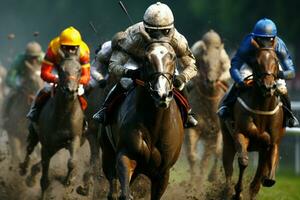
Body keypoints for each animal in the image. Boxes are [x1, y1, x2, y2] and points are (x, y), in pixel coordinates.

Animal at [19, 50, 86, 198]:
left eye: (79, 70)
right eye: (60, 69)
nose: (70, 90)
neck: (63, 115)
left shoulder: (75, 138)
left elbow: (72, 161)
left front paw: (68, 181)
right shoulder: (47, 145)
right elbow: (44, 180)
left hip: (58, 146)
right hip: (35, 134)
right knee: (29, 149)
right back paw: (24, 169)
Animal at [100, 41, 185, 200]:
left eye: (173, 58)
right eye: (146, 59)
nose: (161, 94)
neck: (155, 125)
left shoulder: (162, 173)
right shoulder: (126, 155)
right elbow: (124, 193)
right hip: (107, 151)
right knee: (112, 187)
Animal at [184, 40, 229, 181]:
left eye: (219, 62)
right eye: (204, 61)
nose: (211, 80)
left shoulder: (216, 131)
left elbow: (218, 152)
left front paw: (213, 176)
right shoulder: (193, 129)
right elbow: (192, 156)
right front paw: (192, 181)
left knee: (207, 158)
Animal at [221, 39, 284, 199]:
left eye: (276, 60)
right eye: (256, 61)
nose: (269, 86)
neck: (262, 108)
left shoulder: (273, 141)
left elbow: (272, 155)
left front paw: (269, 178)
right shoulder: (241, 133)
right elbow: (243, 161)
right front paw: (237, 193)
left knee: (257, 178)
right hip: (227, 138)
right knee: (228, 167)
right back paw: (227, 190)